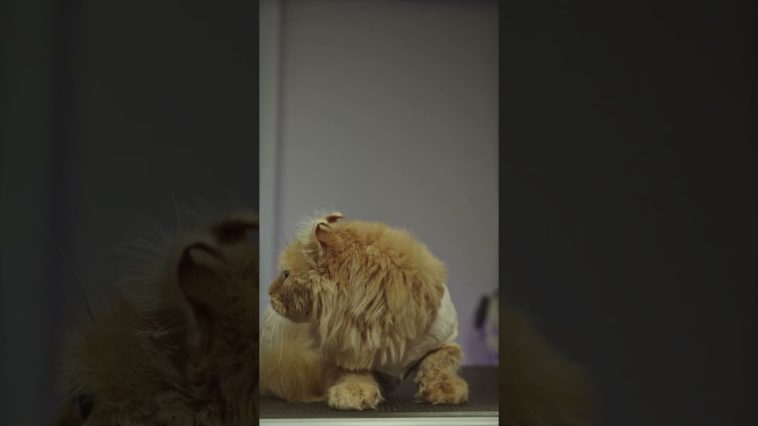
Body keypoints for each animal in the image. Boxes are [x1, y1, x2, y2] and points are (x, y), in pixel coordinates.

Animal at [260, 211, 469, 410]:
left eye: (286, 274)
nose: (269, 291)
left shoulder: (444, 340)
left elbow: (437, 364)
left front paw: (445, 390)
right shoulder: (346, 351)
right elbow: (355, 373)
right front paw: (353, 394)